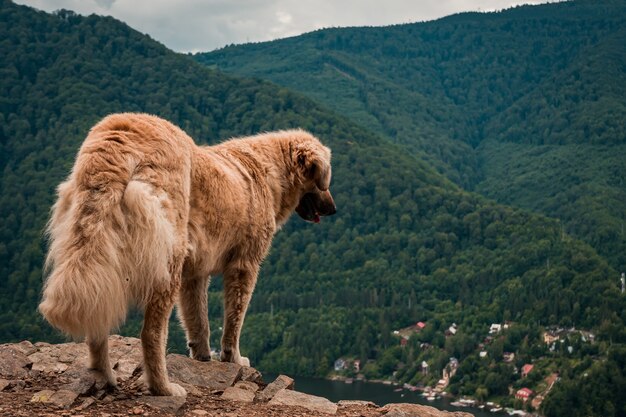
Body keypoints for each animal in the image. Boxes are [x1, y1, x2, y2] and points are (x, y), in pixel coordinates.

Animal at [39, 112, 334, 394]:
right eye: (324, 181)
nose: (333, 209)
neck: (270, 170)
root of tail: (120, 135)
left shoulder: (196, 273)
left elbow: (198, 319)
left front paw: (202, 355)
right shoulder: (244, 265)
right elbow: (234, 319)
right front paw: (233, 358)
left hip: (98, 245)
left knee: (99, 310)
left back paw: (104, 374)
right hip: (169, 254)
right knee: (151, 333)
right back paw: (163, 388)